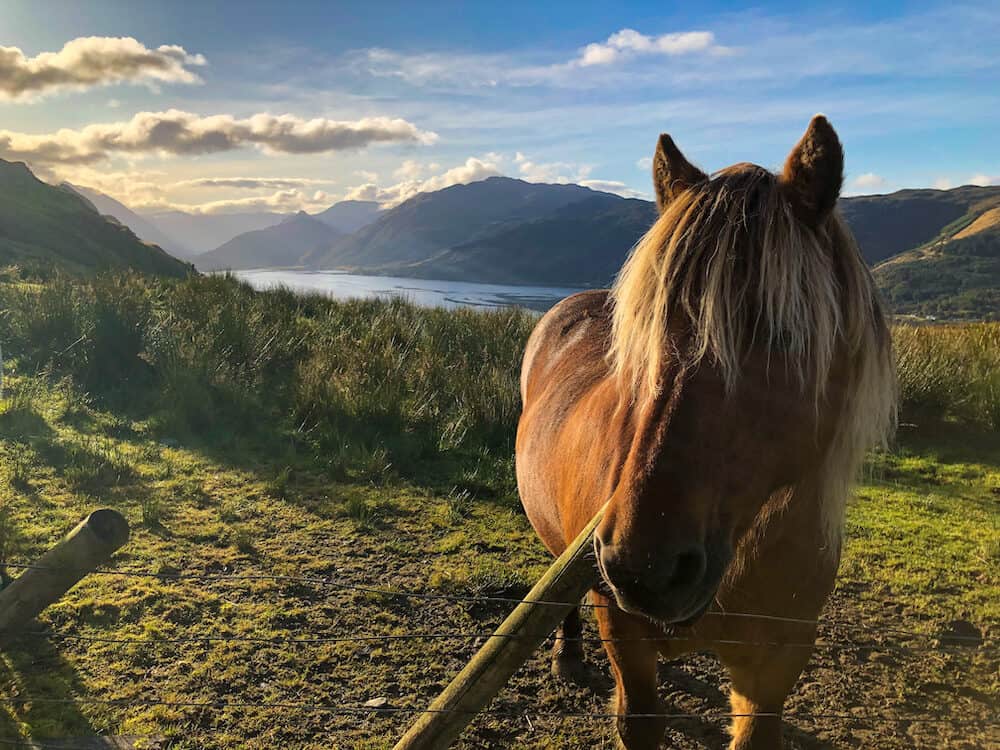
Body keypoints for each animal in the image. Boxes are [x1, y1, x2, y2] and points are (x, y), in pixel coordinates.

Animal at [520, 114, 896, 748]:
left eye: (783, 333)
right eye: (645, 329)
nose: (644, 567)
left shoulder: (775, 666)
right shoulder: (627, 642)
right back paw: (567, 656)